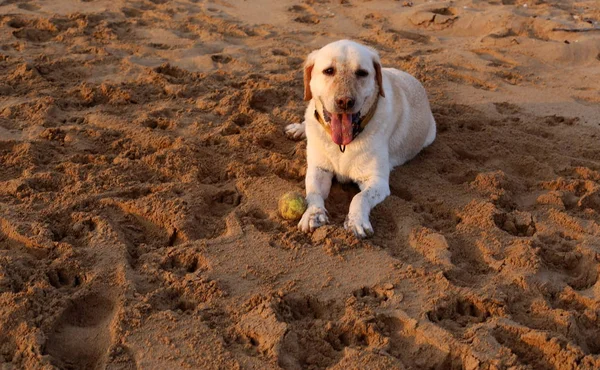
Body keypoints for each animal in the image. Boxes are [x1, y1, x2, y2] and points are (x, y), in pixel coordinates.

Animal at [286, 39, 436, 237]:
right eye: (329, 70)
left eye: (362, 73)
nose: (345, 101)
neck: (343, 145)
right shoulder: (318, 169)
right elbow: (313, 193)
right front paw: (313, 214)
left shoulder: (377, 180)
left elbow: (360, 197)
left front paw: (356, 221)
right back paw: (299, 128)